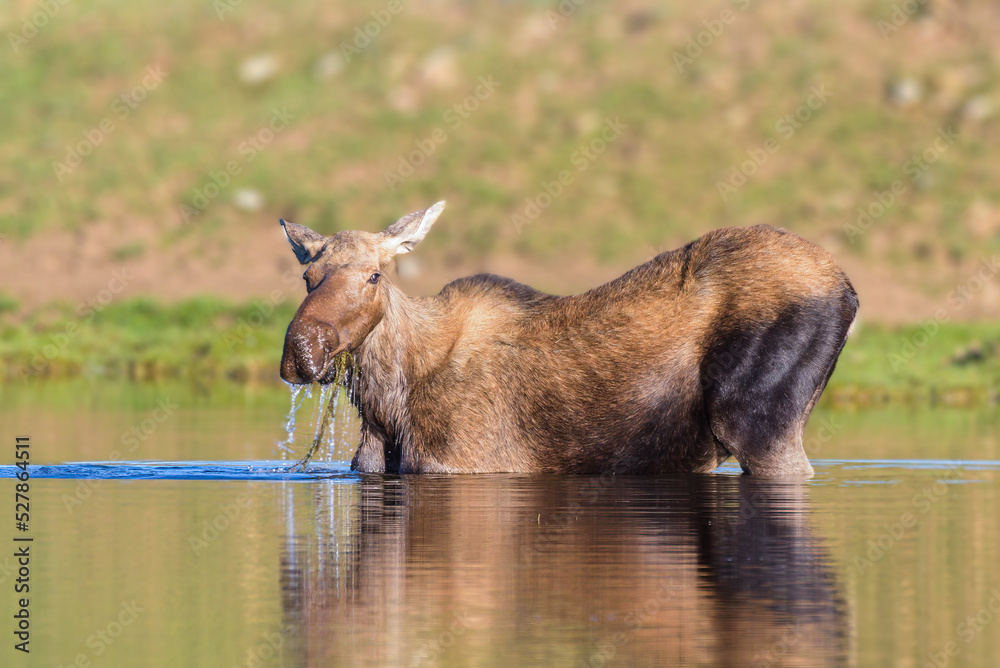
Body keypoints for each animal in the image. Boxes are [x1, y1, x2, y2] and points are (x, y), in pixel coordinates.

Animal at [278, 201, 856, 478]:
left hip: (757, 420)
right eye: (308, 276)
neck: (386, 406)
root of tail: (849, 288)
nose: (304, 351)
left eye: (374, 275)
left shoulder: (466, 462)